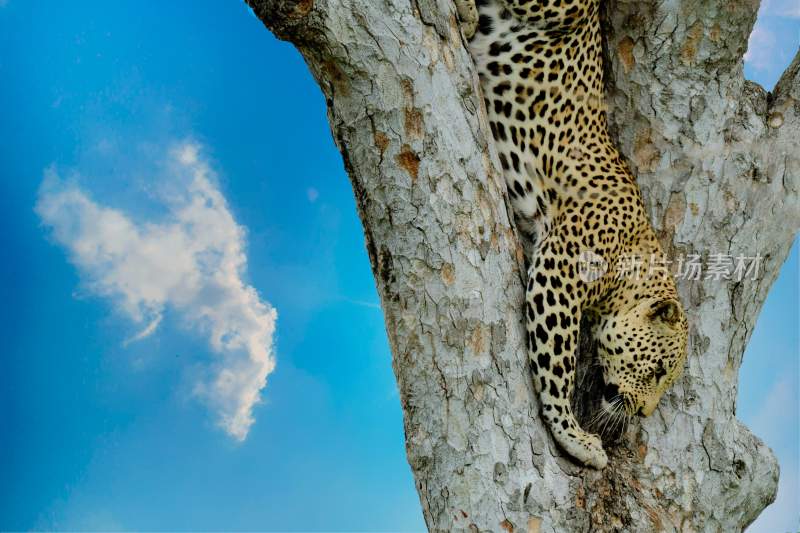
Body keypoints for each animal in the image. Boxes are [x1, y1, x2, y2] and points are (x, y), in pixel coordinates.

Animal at [454, 0, 692, 466]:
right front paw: (574, 436)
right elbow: (556, 362)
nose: (644, 412)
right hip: (562, 9)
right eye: (657, 370)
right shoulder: (562, 265)